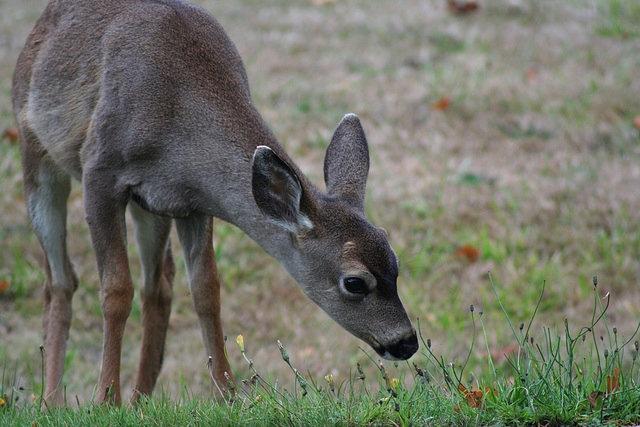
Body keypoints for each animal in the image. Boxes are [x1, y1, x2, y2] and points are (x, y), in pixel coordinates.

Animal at [11, 0, 420, 408]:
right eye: (355, 282)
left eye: (396, 264)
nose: (407, 342)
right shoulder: (100, 170)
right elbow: (115, 291)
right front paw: (104, 400)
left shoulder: (191, 201)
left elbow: (206, 288)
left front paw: (227, 394)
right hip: (35, 152)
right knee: (60, 279)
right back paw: (52, 402)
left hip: (150, 207)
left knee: (156, 285)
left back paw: (140, 401)